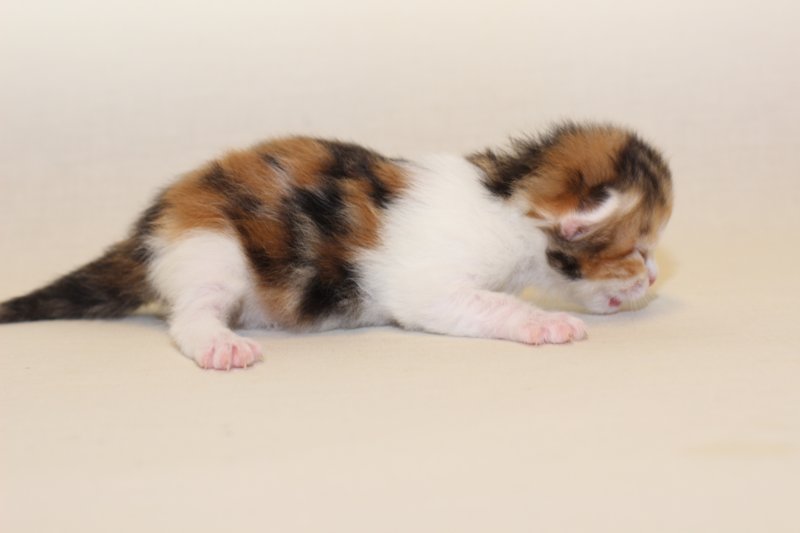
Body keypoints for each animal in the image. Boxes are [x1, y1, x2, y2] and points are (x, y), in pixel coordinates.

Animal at [0, 122, 672, 370]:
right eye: (638, 248)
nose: (654, 278)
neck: (505, 194)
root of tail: (151, 227)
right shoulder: (428, 288)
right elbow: (492, 304)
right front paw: (546, 324)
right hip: (212, 247)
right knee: (188, 317)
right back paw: (220, 343)